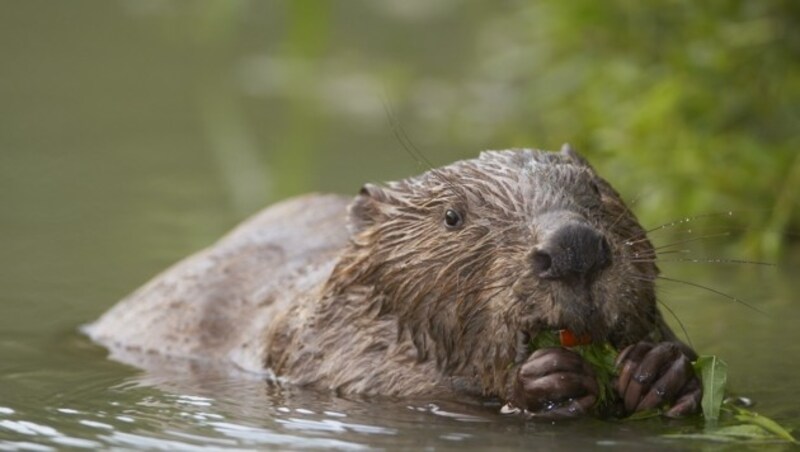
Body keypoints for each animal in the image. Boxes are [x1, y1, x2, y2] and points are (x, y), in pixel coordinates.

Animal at [86, 147, 700, 418]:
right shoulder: (318, 342)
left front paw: (658, 369)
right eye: (452, 217)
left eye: (596, 189)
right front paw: (546, 379)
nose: (573, 248)